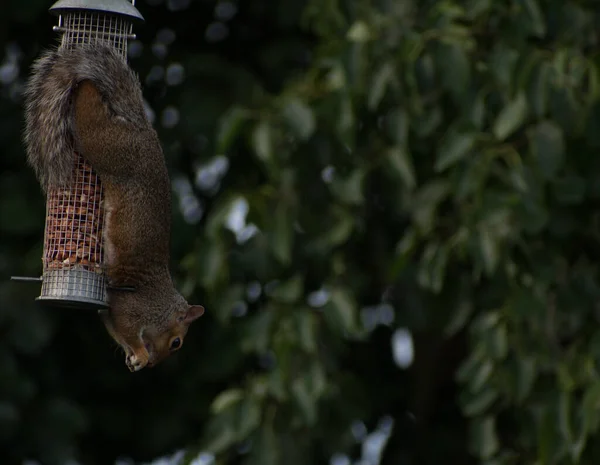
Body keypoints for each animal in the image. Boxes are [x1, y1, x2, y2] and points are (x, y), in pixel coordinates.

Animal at [22, 42, 204, 370]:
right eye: (176, 342)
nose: (155, 364)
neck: (160, 304)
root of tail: (141, 125)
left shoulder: (108, 312)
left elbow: (114, 328)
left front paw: (134, 359)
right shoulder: (131, 308)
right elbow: (128, 328)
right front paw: (141, 354)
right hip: (107, 144)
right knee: (88, 114)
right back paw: (84, 87)